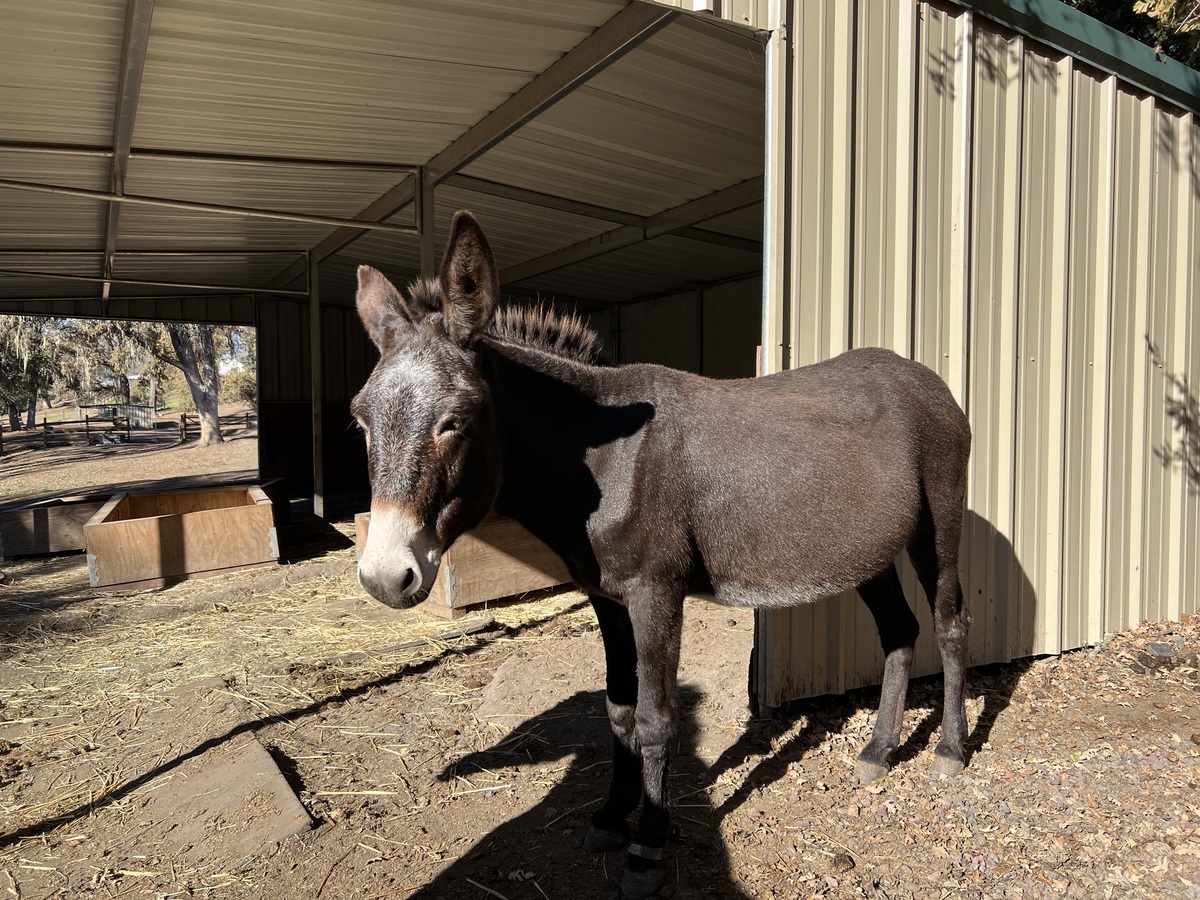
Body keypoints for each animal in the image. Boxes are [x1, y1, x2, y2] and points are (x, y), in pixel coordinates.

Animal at [352, 210, 973, 899]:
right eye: (360, 420)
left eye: (455, 421)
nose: (384, 578)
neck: (602, 459)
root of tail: (924, 376)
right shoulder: (607, 597)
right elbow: (618, 711)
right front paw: (608, 818)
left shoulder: (656, 594)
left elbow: (654, 718)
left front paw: (646, 846)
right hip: (867, 550)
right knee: (900, 630)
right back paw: (879, 751)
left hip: (938, 522)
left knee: (949, 623)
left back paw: (949, 751)